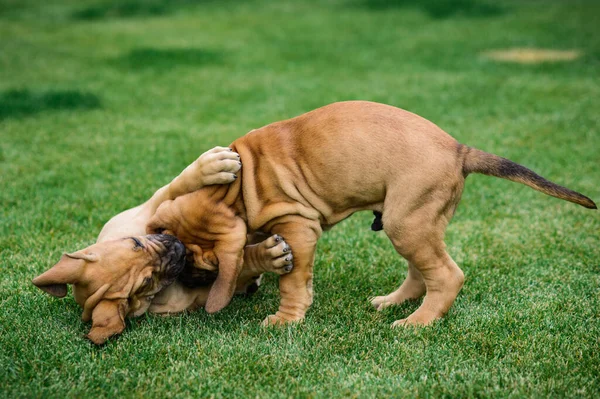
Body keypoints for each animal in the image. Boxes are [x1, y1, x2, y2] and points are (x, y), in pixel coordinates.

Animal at [32, 147, 292, 344]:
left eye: (136, 242)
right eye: (147, 282)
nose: (178, 248)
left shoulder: (147, 209)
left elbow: (173, 187)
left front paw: (212, 166)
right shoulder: (201, 292)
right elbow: (235, 267)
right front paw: (270, 256)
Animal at [145, 100, 596, 328]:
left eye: (203, 271)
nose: (182, 272)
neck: (237, 190)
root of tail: (460, 150)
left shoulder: (299, 227)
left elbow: (292, 280)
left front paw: (287, 318)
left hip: (407, 220)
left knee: (447, 275)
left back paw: (418, 322)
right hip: (413, 221)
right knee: (422, 272)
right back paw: (395, 303)